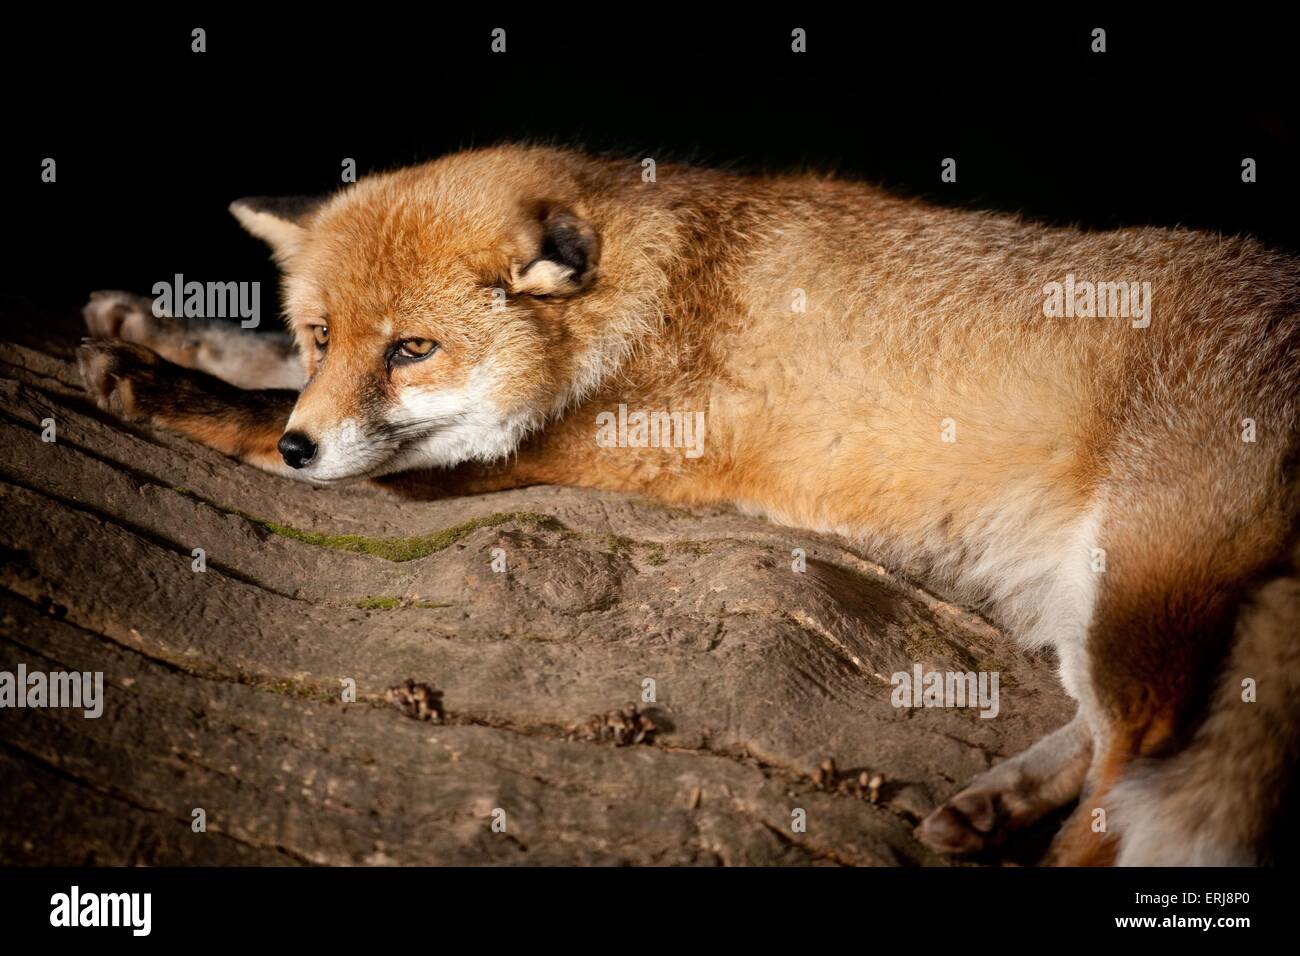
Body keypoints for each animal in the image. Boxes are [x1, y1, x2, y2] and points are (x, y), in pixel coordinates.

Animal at [75, 144, 1300, 866]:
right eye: (328, 334)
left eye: (412, 350)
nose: (305, 444)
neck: (668, 285)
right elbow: (260, 364)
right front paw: (166, 331)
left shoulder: (563, 451)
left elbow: (264, 421)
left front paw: (167, 388)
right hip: (1080, 599)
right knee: (1104, 743)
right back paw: (991, 801)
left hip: (1131, 586)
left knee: (1136, 749)